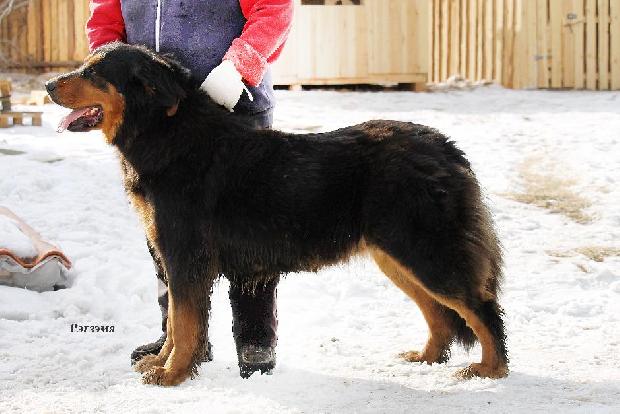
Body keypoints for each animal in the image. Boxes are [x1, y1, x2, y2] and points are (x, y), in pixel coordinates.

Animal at [46, 42, 508, 386]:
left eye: (94, 72)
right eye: (84, 65)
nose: (48, 84)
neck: (168, 133)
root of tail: (445, 147)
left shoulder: (186, 258)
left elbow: (185, 323)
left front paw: (172, 374)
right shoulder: (175, 259)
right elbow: (176, 322)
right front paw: (162, 363)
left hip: (424, 251)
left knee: (482, 307)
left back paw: (490, 370)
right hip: (396, 257)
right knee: (441, 314)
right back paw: (427, 357)